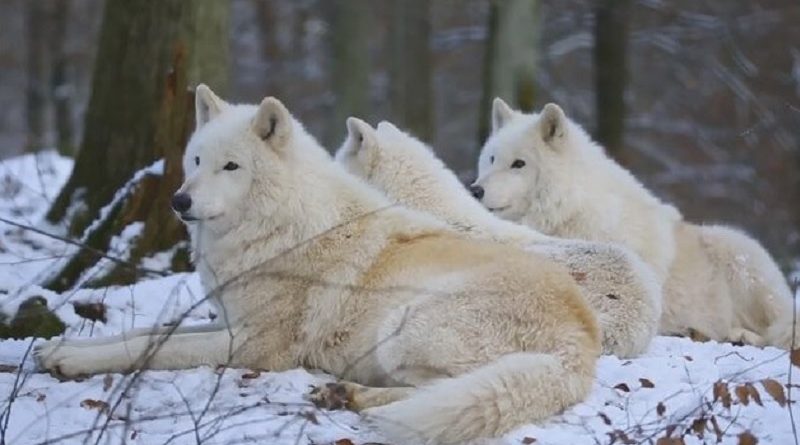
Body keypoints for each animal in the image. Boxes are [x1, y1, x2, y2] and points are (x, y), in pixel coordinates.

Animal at [36, 86, 600, 444]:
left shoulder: (251, 346)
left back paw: (348, 394)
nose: (179, 202)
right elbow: (144, 334)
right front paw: (58, 348)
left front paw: (72, 362)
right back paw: (341, 392)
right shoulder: (227, 320)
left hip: (403, 327)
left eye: (231, 167)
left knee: (438, 394)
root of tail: (582, 341)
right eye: (196, 160)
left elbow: (151, 350)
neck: (280, 228)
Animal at [472, 99, 796, 348]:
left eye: (519, 164)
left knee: (778, 331)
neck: (569, 212)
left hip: (740, 257)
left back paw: (739, 335)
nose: (475, 190)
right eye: (491, 159)